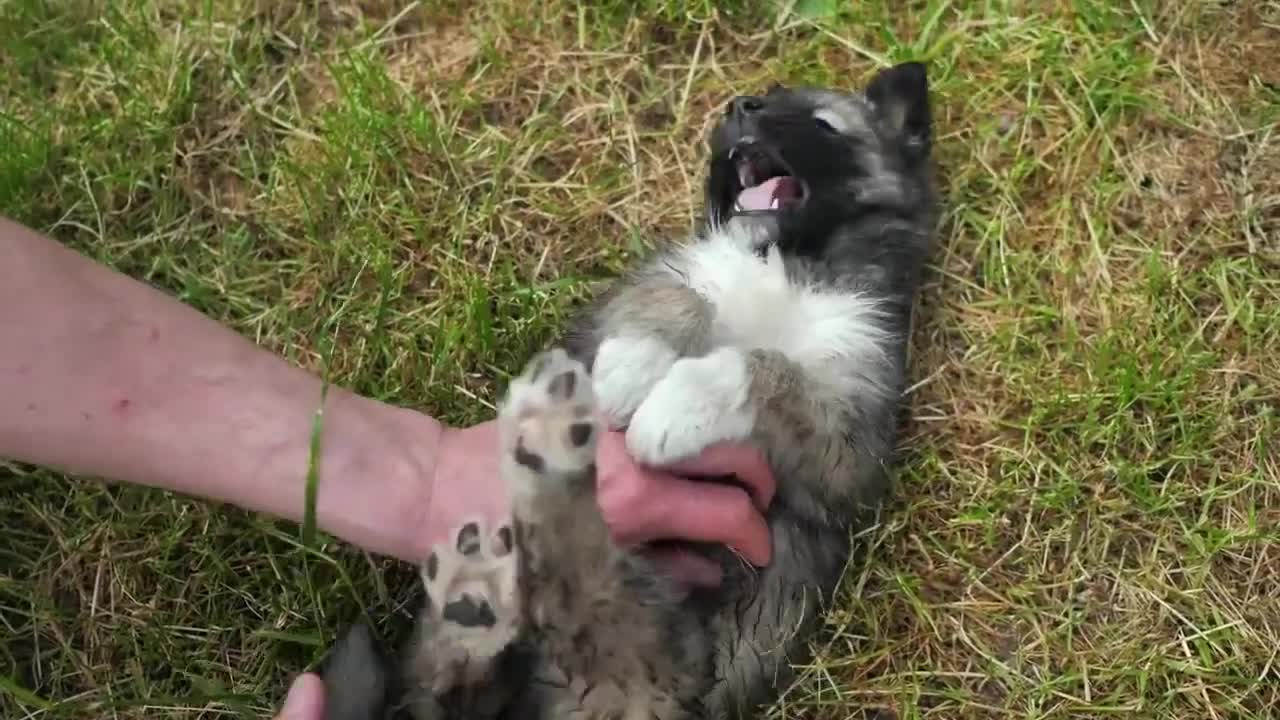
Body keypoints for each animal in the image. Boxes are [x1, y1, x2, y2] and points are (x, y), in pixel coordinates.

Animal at [317, 60, 942, 717]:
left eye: (822, 122)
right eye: (766, 99)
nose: (738, 107)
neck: (786, 260)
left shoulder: (851, 445)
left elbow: (769, 367)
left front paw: (680, 404)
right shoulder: (656, 281)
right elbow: (683, 297)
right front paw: (635, 361)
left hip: (643, 655)